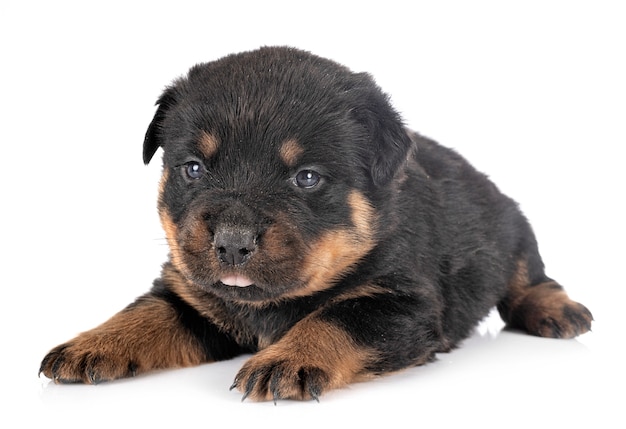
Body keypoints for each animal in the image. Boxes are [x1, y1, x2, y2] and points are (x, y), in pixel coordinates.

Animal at [39, 46, 588, 402]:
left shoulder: (402, 302)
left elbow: (336, 317)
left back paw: (558, 311)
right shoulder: (192, 298)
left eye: (306, 178)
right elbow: (146, 313)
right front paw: (90, 344)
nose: (232, 242)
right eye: (193, 168)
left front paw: (287, 358)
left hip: (512, 227)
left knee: (529, 278)